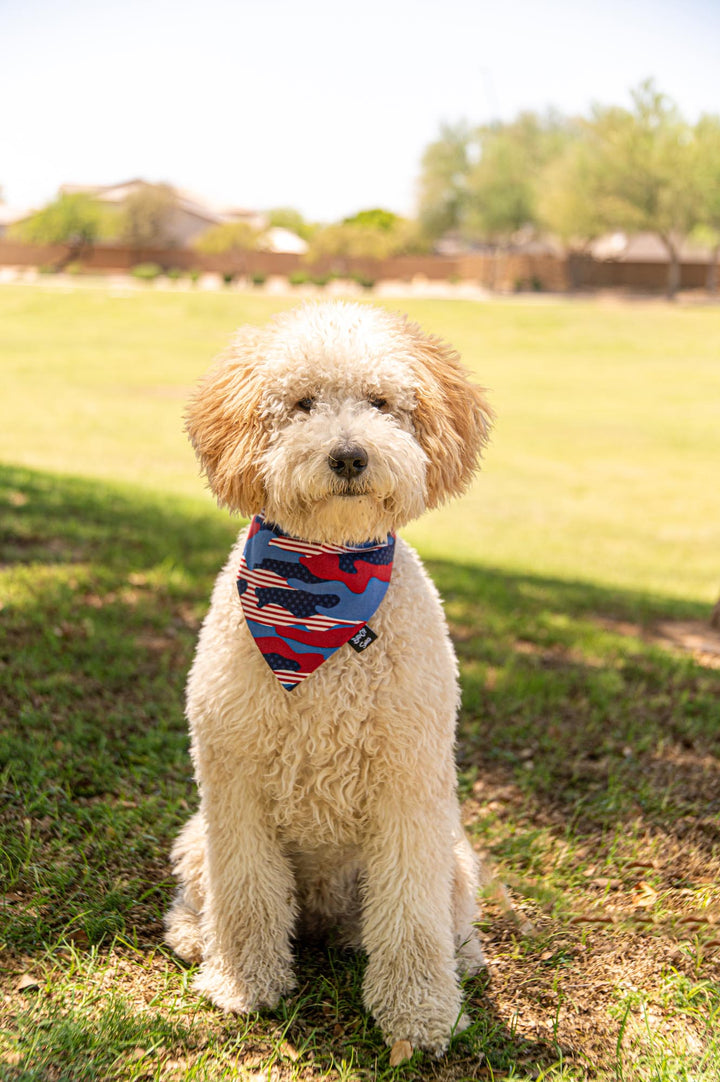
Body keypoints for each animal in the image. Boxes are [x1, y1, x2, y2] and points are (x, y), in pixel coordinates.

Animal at [165, 302, 493, 1056]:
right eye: (301, 404)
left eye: (381, 402)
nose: (348, 456)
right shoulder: (235, 782)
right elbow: (246, 895)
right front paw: (243, 983)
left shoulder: (409, 787)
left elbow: (411, 916)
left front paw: (419, 1013)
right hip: (197, 837)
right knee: (212, 897)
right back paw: (195, 935)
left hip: (454, 855)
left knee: (446, 919)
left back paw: (461, 959)